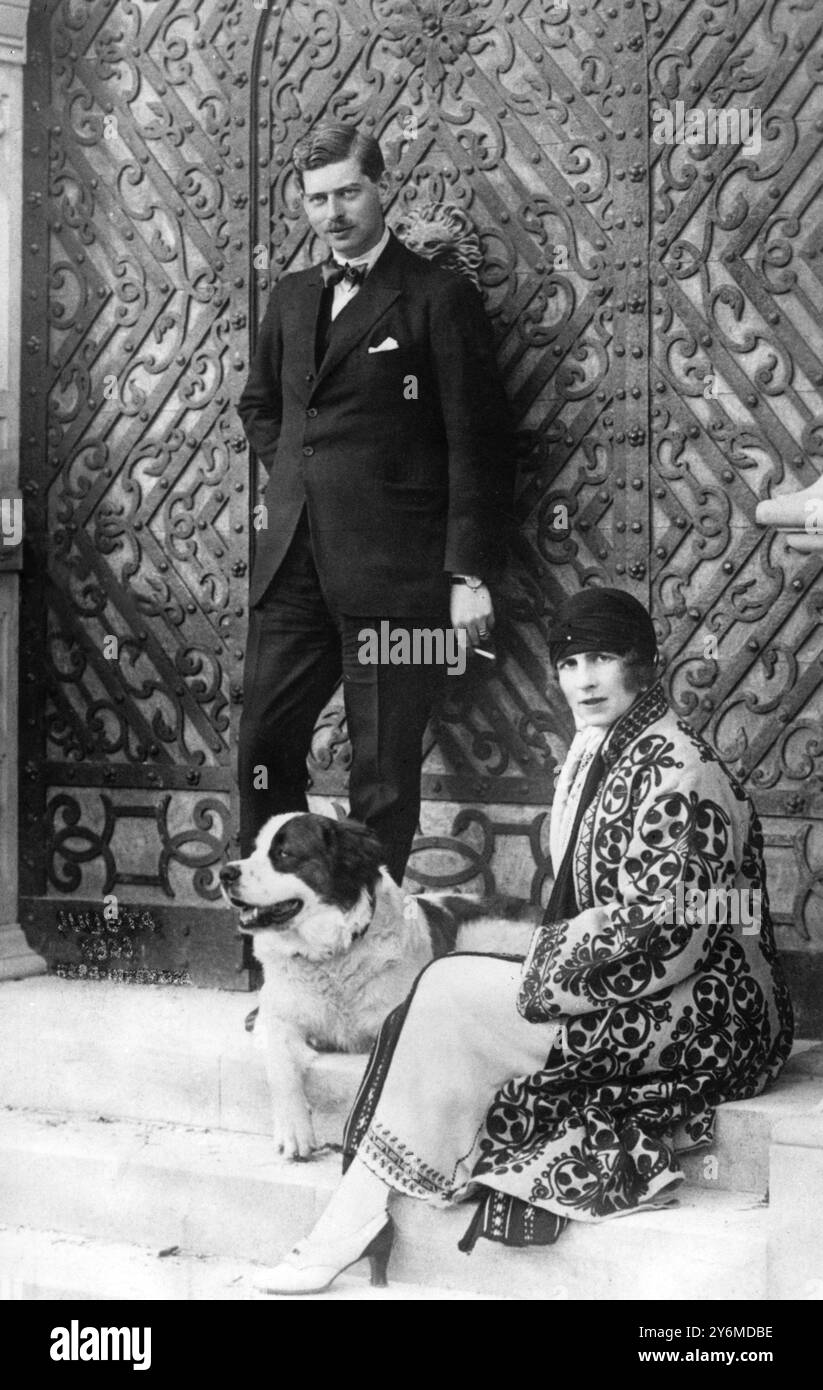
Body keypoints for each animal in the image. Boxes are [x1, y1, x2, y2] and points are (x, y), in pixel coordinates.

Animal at [222, 811, 536, 1162]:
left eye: (284, 854)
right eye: (255, 850)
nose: (225, 873)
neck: (333, 956)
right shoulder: (276, 1019)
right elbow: (281, 1066)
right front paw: (294, 1131)